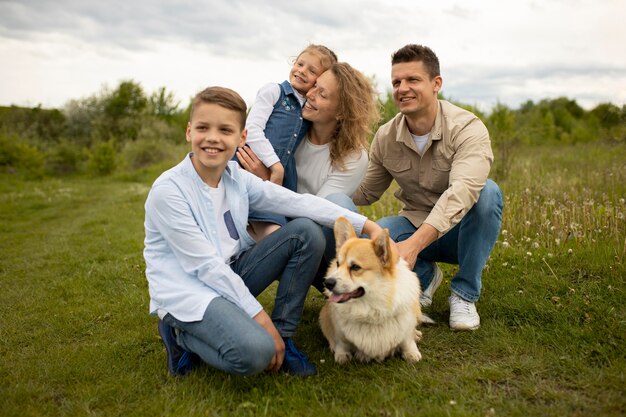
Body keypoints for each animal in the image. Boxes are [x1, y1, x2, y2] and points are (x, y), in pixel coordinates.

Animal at [320, 216, 422, 362]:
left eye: (355, 267)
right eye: (338, 264)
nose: (327, 282)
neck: (370, 308)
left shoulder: (406, 324)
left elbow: (407, 340)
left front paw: (411, 353)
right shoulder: (338, 329)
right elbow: (341, 342)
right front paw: (342, 355)